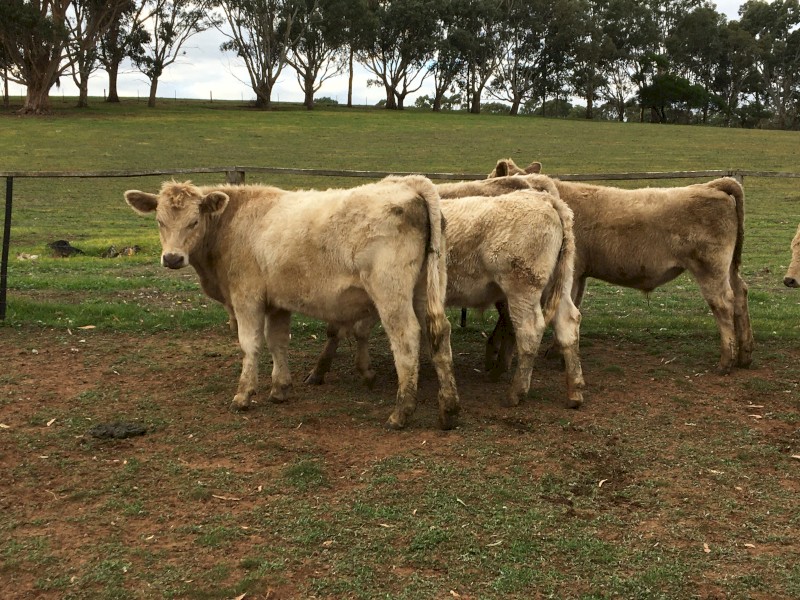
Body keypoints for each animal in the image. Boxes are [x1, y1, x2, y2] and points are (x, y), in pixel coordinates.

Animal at [124, 176, 460, 430]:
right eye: (159, 221)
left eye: (194, 221)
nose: (172, 258)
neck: (232, 224)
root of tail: (409, 184)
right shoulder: (277, 302)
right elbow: (278, 342)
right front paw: (280, 388)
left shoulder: (247, 297)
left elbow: (250, 344)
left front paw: (244, 395)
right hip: (424, 289)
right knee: (439, 334)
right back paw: (449, 410)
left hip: (390, 291)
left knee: (406, 339)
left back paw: (401, 412)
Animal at [307, 184, 585, 409]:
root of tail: (546, 200)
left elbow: (343, 330)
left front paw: (320, 371)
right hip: (556, 286)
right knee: (568, 323)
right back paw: (574, 390)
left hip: (522, 288)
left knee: (529, 331)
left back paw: (516, 392)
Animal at [488, 158, 754, 375]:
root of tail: (712, 185)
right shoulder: (579, 274)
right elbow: (574, 303)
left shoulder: (570, 272)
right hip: (729, 268)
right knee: (740, 294)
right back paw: (745, 355)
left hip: (711, 269)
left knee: (724, 304)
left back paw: (726, 362)